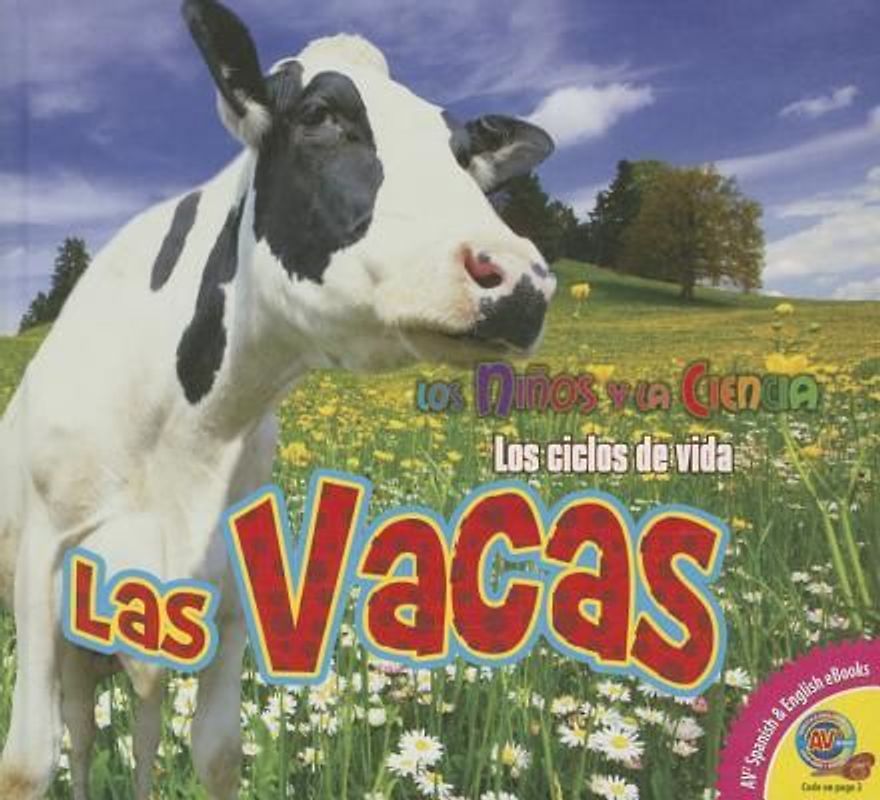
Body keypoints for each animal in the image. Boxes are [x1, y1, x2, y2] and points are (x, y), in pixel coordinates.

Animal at [0, 0, 556, 797]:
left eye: (461, 154)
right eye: (319, 115)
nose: (519, 278)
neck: (192, 433)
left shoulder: (228, 592)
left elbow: (218, 752)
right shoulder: (45, 566)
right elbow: (28, 762)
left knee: (141, 728)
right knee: (80, 732)